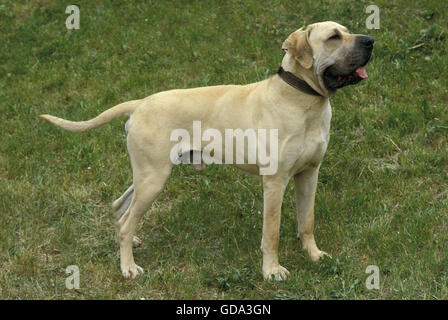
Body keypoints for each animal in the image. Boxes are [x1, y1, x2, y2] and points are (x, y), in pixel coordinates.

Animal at [40, 20, 372, 280]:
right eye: (334, 37)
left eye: (347, 31)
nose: (370, 40)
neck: (302, 99)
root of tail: (140, 103)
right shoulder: (275, 183)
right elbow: (272, 233)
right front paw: (271, 270)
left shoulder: (309, 175)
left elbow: (307, 222)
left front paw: (313, 255)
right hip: (153, 179)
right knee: (125, 220)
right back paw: (128, 267)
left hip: (145, 177)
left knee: (120, 208)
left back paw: (130, 244)